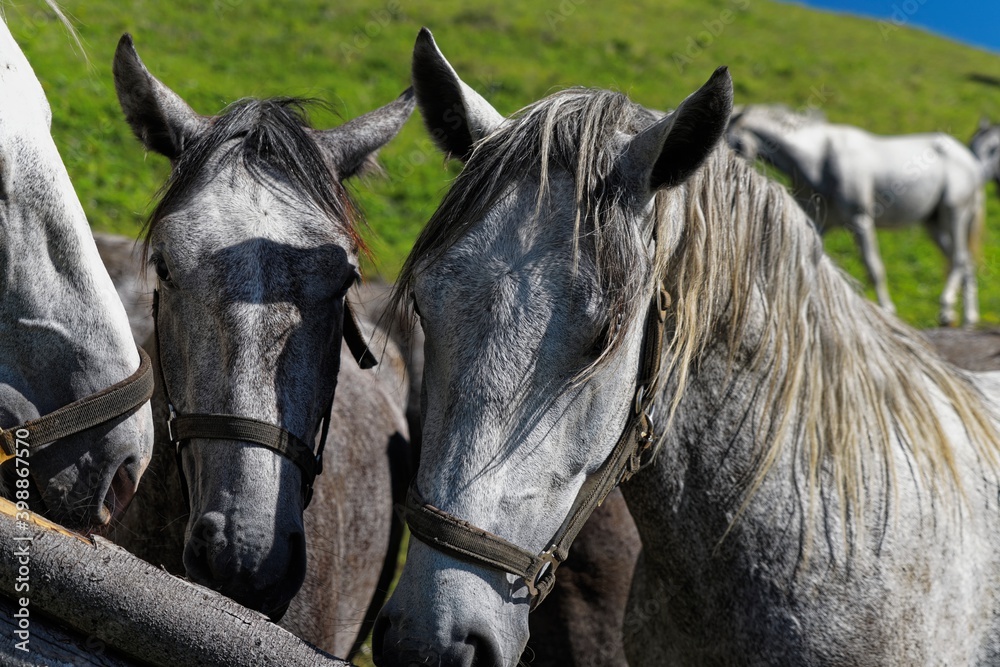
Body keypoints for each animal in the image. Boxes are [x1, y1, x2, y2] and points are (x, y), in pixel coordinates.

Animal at [728, 104, 986, 327]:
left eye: (733, 143)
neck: (819, 160)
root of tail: (970, 160)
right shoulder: (819, 223)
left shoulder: (860, 221)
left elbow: (873, 267)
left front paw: (887, 310)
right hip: (933, 224)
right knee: (964, 262)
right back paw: (967, 318)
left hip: (955, 213)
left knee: (960, 259)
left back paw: (947, 310)